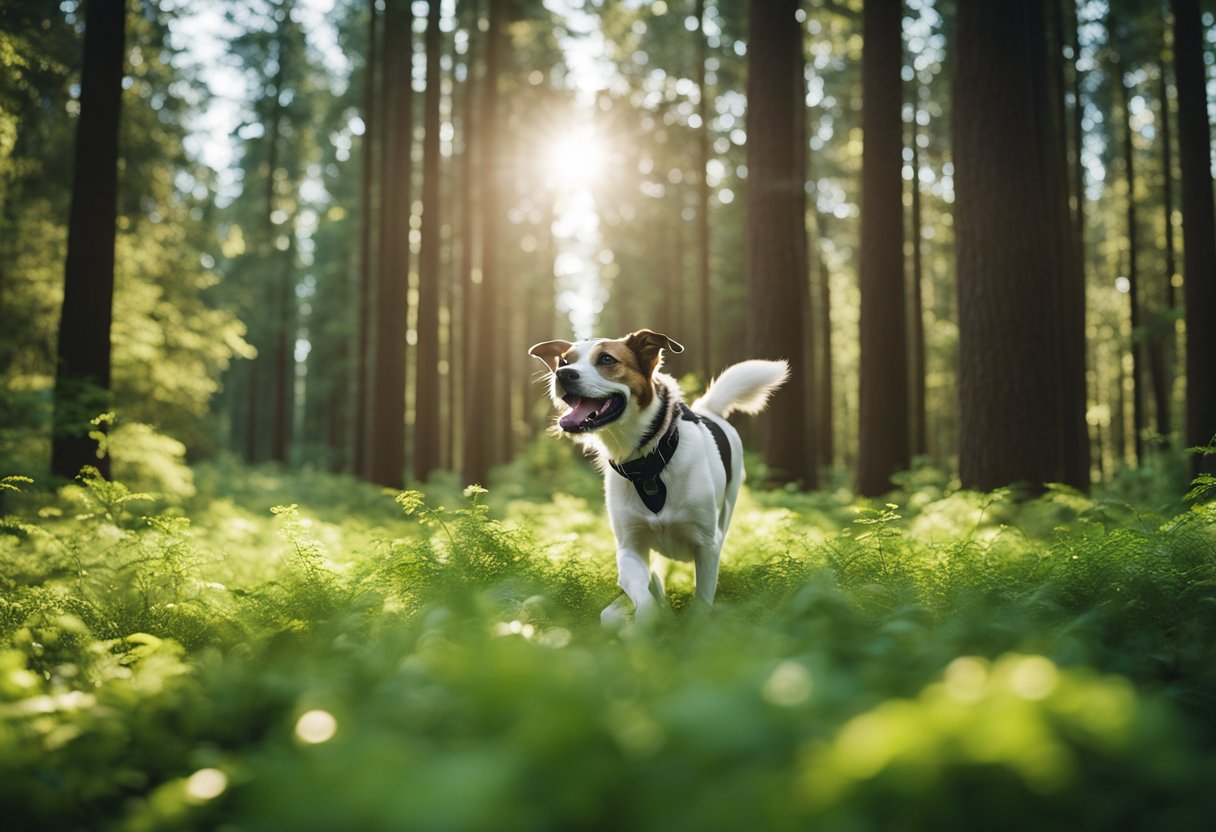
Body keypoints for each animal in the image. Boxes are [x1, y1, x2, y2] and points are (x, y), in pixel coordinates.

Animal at [530, 328, 787, 627]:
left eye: (606, 359)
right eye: (564, 361)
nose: (563, 374)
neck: (649, 464)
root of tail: (708, 410)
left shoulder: (707, 546)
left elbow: (702, 599)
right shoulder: (630, 546)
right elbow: (641, 592)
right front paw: (645, 620)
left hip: (727, 510)